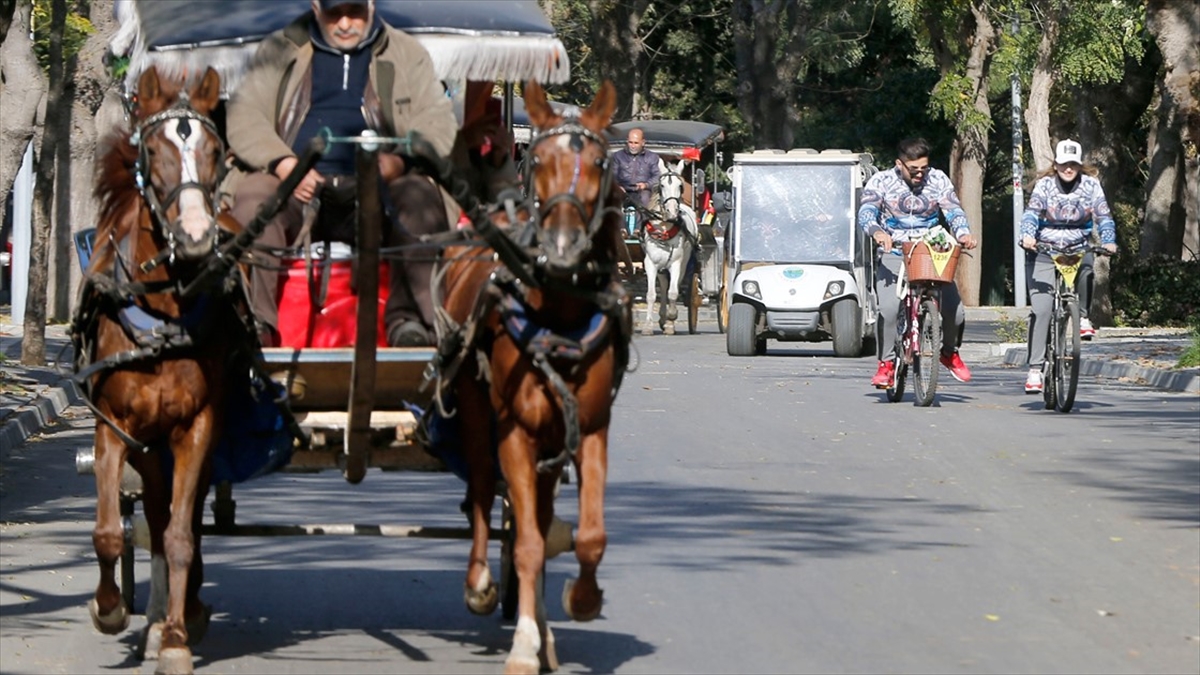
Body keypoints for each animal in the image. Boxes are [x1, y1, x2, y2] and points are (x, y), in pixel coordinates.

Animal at [71, 65, 247, 667]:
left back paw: (183, 611)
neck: (163, 316)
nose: (196, 236)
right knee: (149, 509)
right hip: (147, 446)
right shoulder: (113, 429)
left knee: (179, 518)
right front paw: (110, 609)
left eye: (217, 151)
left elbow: (181, 534)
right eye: (152, 148)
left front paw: (175, 638)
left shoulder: (198, 427)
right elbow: (109, 531)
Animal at [436, 81, 633, 667]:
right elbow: (523, 541)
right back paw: (480, 582)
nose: (562, 248)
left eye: (599, 162)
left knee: (541, 514)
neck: (559, 316)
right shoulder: (515, 433)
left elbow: (586, 535)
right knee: (483, 488)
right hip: (476, 410)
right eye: (539, 160)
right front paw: (523, 644)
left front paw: (580, 601)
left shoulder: (588, 428)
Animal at [643, 158, 700, 336]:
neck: (664, 228)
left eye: (680, 186)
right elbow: (651, 295)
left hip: (684, 263)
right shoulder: (650, 263)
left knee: (674, 287)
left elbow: (673, 293)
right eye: (662, 186)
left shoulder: (676, 263)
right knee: (663, 286)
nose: (672, 212)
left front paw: (671, 321)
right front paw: (648, 326)